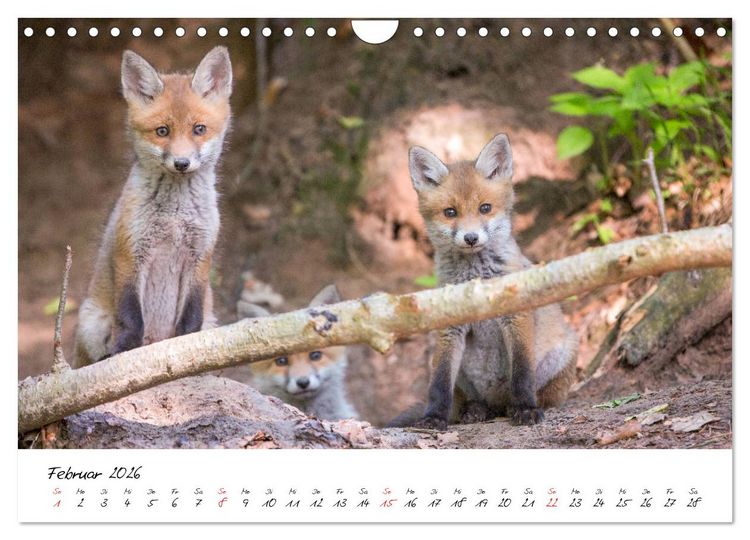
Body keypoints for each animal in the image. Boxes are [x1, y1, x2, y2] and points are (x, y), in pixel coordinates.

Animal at [74, 47, 233, 366]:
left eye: (199, 129)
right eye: (162, 131)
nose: (182, 163)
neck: (174, 216)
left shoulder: (200, 256)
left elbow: (190, 319)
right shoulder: (131, 252)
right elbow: (130, 316)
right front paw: (123, 353)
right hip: (90, 324)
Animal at [395, 133, 578, 430]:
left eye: (485, 208)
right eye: (450, 212)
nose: (471, 238)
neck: (476, 278)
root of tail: (496, 401)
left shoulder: (517, 315)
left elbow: (522, 373)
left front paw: (526, 409)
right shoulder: (449, 328)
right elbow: (439, 383)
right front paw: (433, 417)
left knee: (540, 394)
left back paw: (517, 406)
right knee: (468, 401)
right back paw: (476, 410)